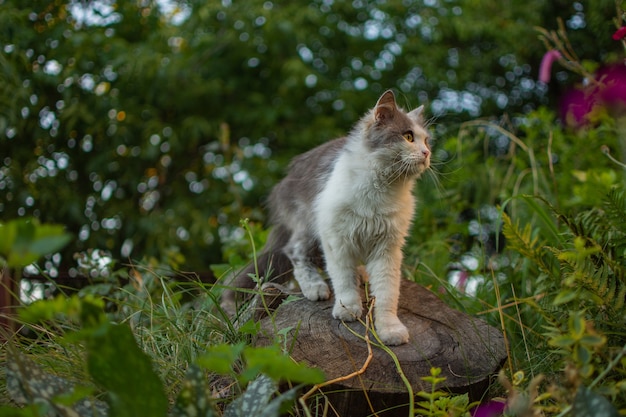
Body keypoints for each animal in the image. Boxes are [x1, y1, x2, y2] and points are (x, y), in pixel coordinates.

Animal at [222, 90, 432, 344]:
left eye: (426, 141)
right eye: (408, 137)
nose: (427, 153)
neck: (383, 188)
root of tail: (285, 180)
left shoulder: (388, 248)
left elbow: (387, 292)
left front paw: (390, 329)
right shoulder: (336, 237)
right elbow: (342, 278)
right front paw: (347, 308)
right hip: (307, 226)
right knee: (295, 251)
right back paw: (315, 287)